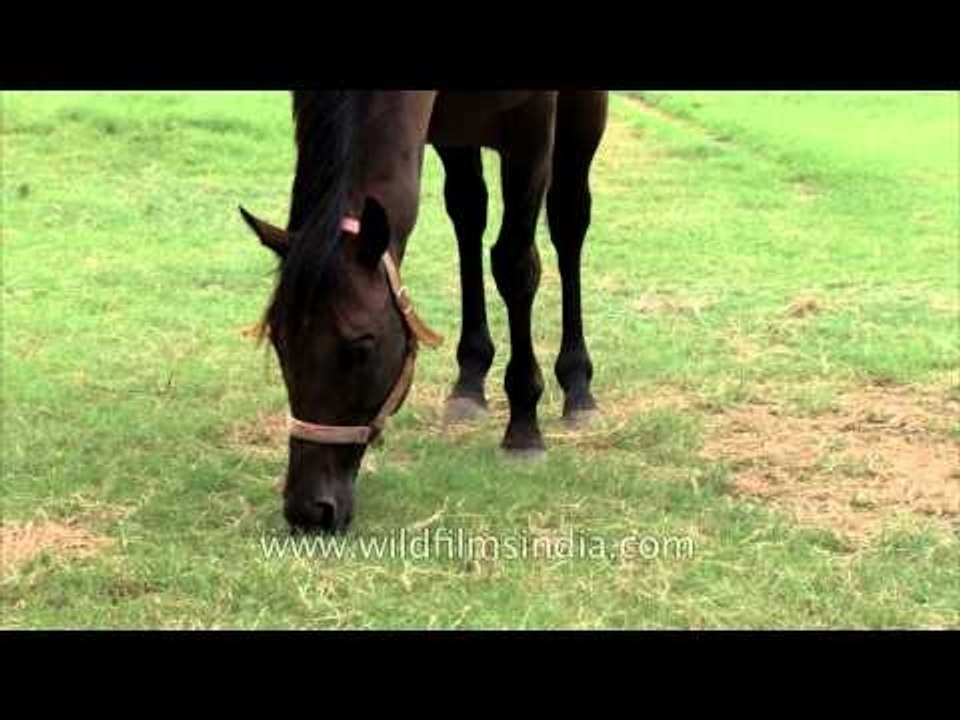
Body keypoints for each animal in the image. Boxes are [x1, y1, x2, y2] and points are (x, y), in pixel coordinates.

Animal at [239, 91, 608, 533]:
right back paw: (470, 379)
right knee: (469, 215)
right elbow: (469, 218)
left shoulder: (531, 127)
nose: (309, 510)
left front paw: (523, 428)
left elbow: (515, 265)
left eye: (361, 347)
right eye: (279, 344)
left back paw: (578, 389)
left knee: (569, 219)